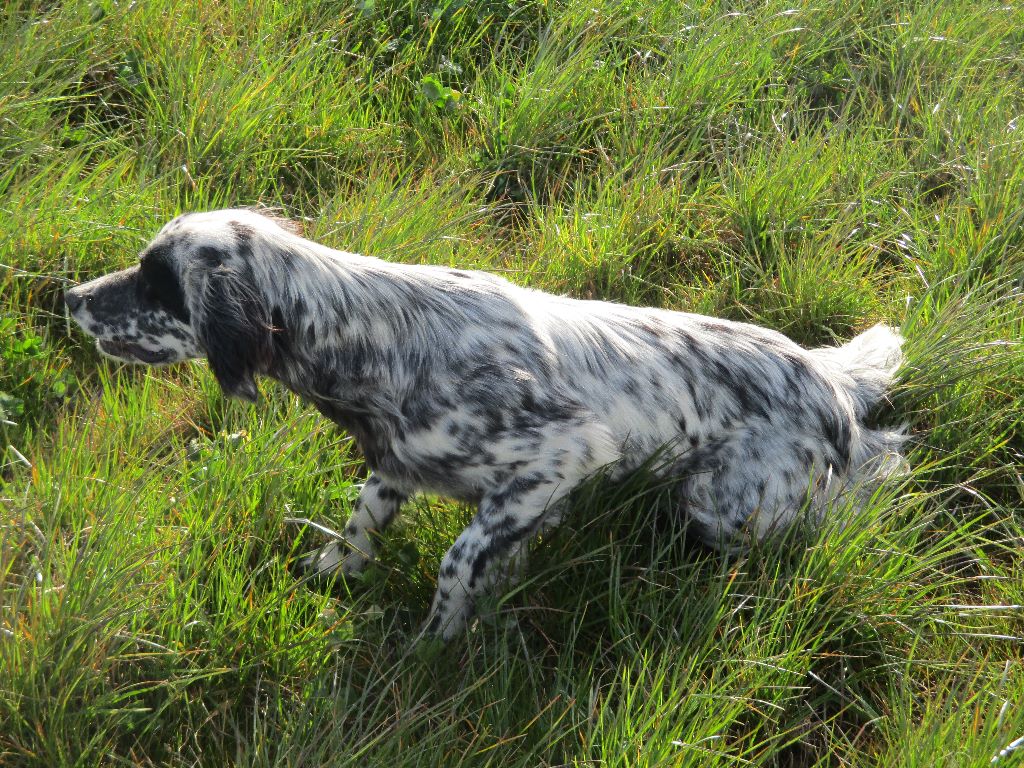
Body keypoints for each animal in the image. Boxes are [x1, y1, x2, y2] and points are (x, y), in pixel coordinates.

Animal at [64, 207, 905, 638]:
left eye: (157, 282)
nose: (70, 297)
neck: (378, 338)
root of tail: (830, 379)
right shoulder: (403, 461)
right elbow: (366, 516)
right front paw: (337, 568)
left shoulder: (558, 459)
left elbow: (457, 560)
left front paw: (436, 642)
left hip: (726, 506)